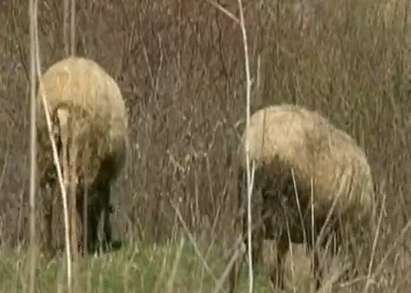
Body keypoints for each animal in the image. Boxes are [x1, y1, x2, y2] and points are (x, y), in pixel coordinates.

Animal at [36, 56, 128, 254]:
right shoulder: (104, 174)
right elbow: (100, 203)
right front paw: (103, 239)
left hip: (46, 146)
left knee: (48, 194)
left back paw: (48, 249)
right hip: (81, 146)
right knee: (73, 189)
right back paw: (75, 246)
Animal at [230, 105, 374, 292]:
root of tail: (255, 148)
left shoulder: (316, 234)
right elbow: (317, 269)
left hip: (247, 200)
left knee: (243, 249)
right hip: (283, 208)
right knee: (268, 255)